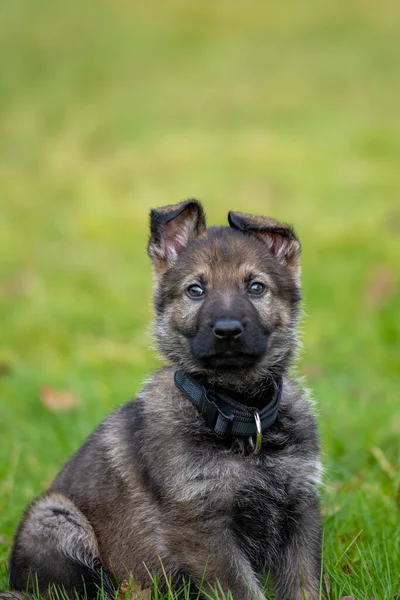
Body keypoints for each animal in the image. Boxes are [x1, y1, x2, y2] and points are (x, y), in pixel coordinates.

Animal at [2, 202, 322, 600]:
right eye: (195, 290)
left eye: (256, 287)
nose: (227, 330)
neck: (238, 410)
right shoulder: (201, 522)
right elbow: (243, 589)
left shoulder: (301, 505)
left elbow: (304, 584)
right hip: (53, 517)